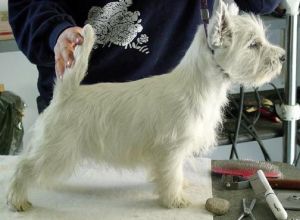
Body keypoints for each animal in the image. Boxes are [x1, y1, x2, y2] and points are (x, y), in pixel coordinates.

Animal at [5, 0, 284, 211]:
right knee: (24, 167)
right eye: (253, 45)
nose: (282, 57)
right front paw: (175, 199)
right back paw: (17, 200)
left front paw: (178, 187)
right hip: (57, 149)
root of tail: (66, 92)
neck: (201, 84)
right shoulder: (171, 148)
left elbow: (174, 173)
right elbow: (171, 173)